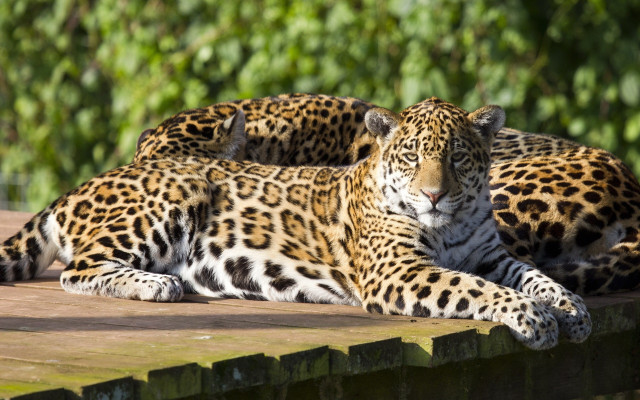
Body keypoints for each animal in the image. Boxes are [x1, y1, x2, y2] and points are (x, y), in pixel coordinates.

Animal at [0, 98, 591, 350]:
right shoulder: (399, 273)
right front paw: (534, 318)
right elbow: (475, 288)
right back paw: (157, 285)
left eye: (458, 157)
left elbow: (536, 276)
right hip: (174, 195)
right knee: (77, 271)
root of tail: (81, 186)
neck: (452, 222)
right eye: (411, 156)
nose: (433, 194)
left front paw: (573, 310)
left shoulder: (492, 255)